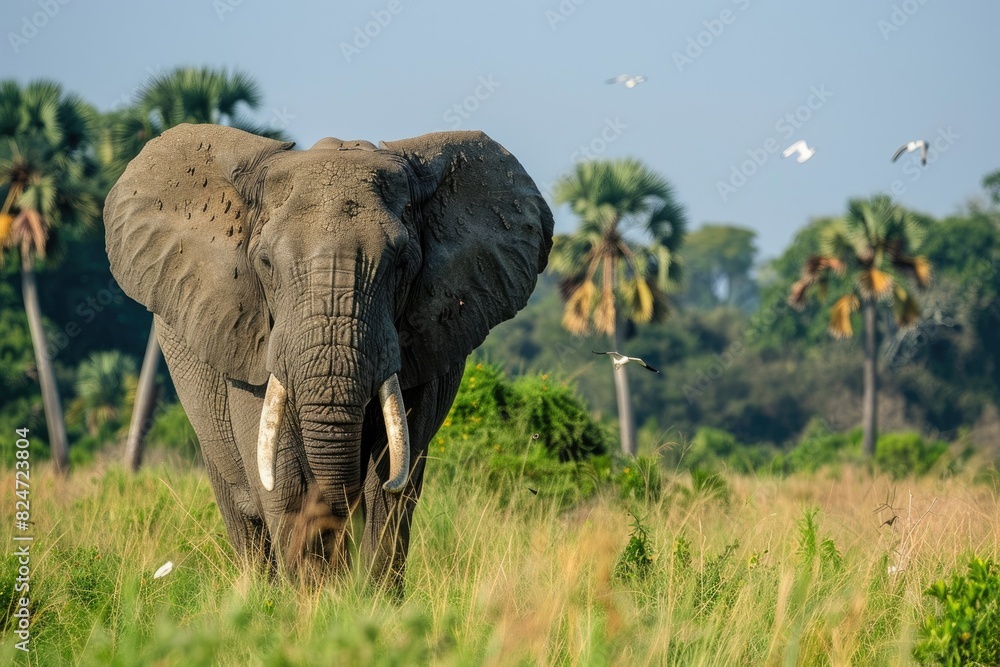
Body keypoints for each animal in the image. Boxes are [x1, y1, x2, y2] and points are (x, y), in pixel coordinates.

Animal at [104, 124, 553, 591]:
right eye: (265, 262)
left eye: (402, 264)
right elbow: (282, 480)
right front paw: (310, 601)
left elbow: (390, 483)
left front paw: (368, 601)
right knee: (240, 509)